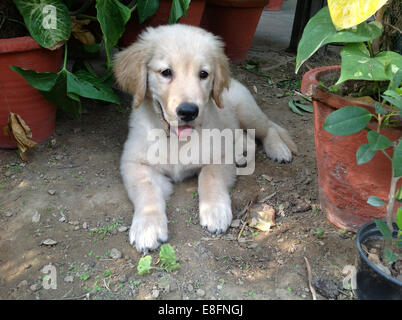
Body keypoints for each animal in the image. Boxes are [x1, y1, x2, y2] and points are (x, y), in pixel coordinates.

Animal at [113, 23, 296, 252]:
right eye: (166, 72)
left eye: (203, 74)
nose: (188, 111)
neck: (176, 140)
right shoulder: (134, 162)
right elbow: (147, 189)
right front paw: (148, 227)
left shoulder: (218, 155)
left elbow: (210, 176)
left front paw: (215, 210)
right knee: (245, 138)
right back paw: (241, 155)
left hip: (247, 111)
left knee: (267, 128)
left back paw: (278, 149)